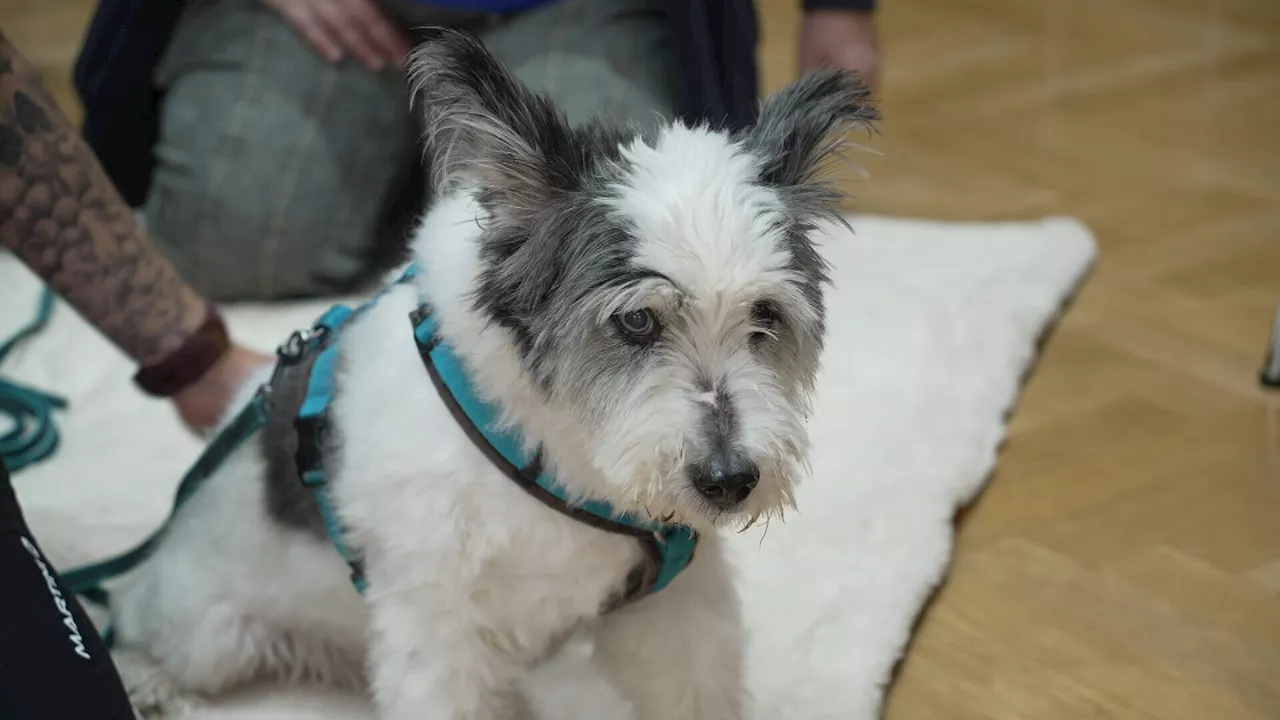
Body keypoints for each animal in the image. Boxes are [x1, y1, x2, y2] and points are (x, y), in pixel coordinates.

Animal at [107, 26, 880, 717]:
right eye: (636, 322)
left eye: (765, 316)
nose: (728, 480)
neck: (551, 448)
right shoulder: (433, 631)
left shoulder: (674, 607)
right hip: (209, 632)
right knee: (140, 629)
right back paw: (142, 678)